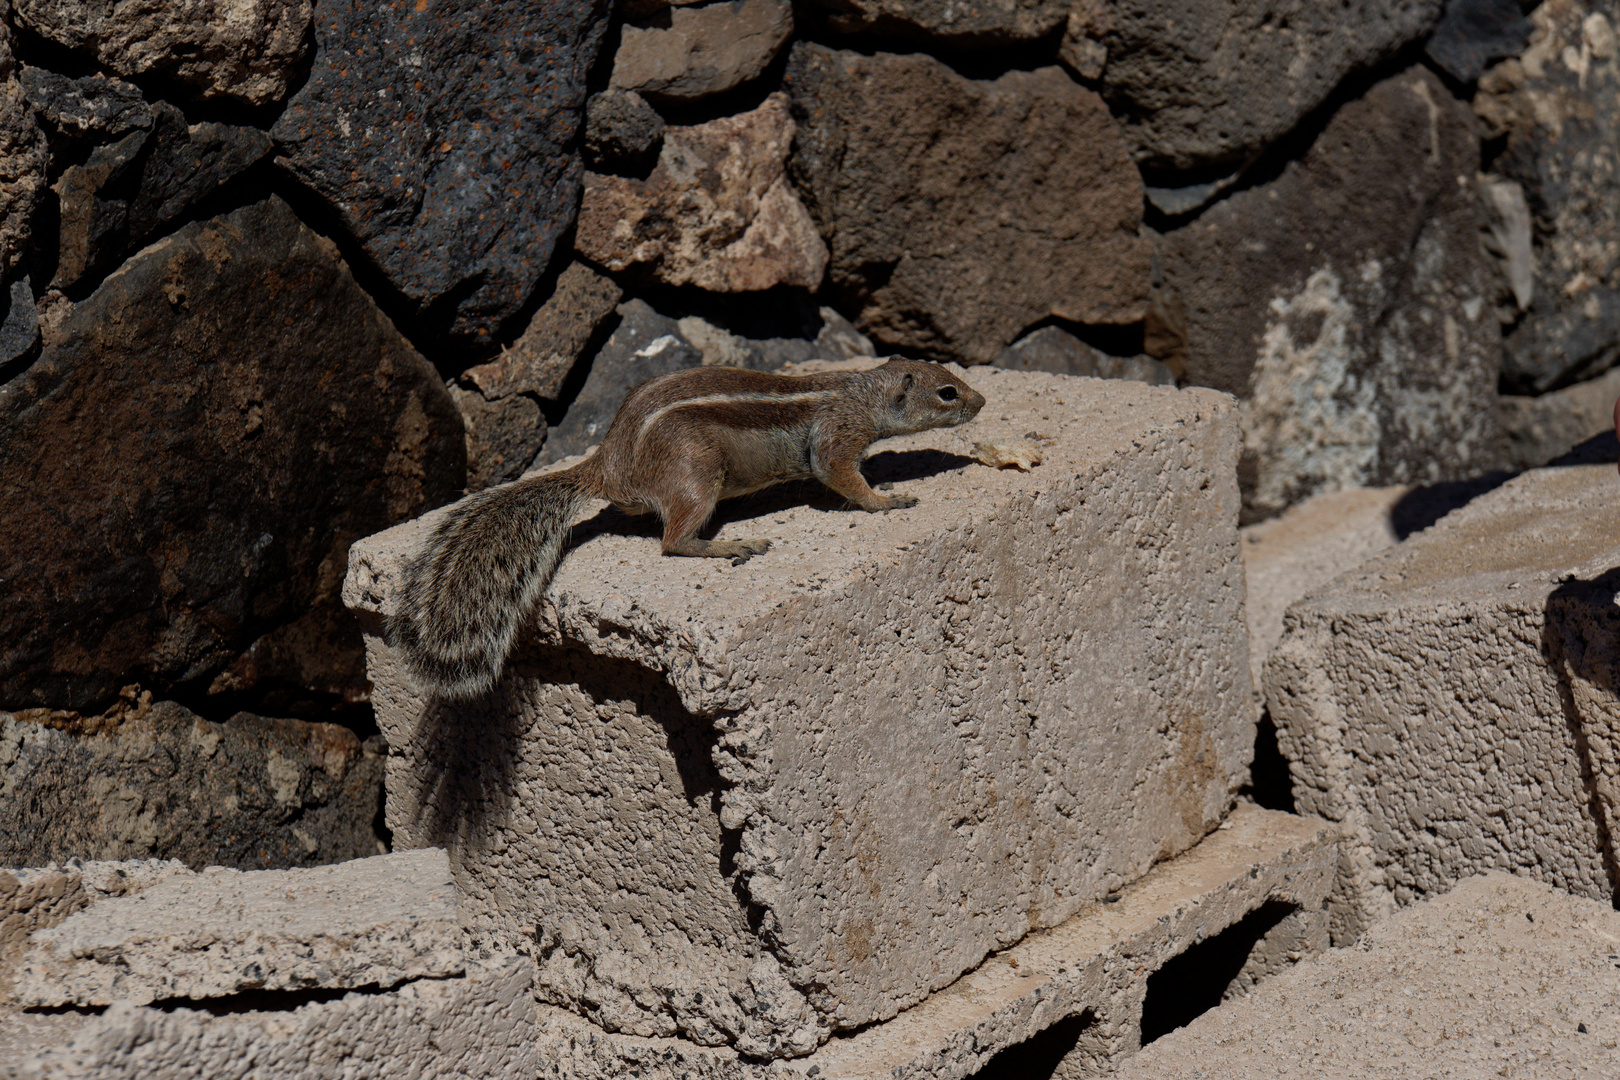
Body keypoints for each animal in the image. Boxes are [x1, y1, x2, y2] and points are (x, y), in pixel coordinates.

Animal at [388, 359, 984, 696]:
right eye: (947, 392)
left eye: (955, 378)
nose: (981, 400)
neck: (860, 391)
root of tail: (608, 463)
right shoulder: (838, 436)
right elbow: (843, 476)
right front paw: (887, 499)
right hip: (699, 473)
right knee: (672, 542)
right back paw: (731, 544)